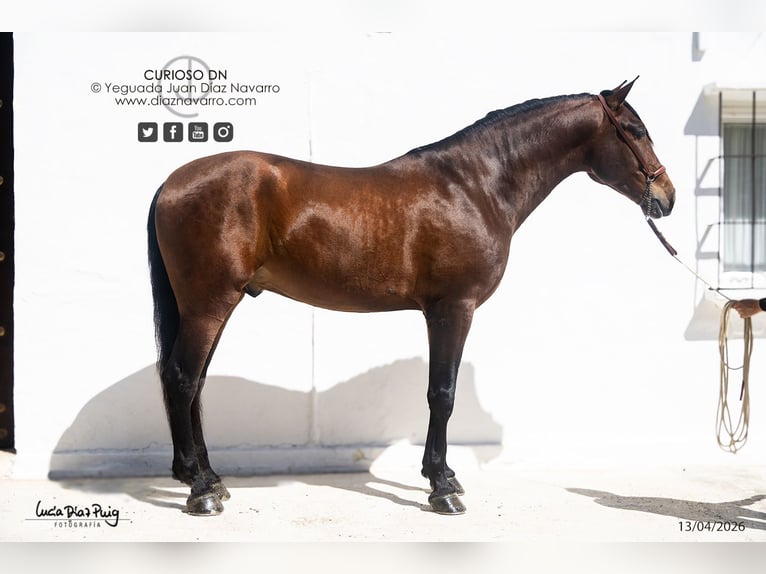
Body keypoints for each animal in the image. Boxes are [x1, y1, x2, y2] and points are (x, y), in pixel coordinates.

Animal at [147, 78, 675, 516]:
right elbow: (442, 393)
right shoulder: (452, 309)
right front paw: (442, 488)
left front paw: (445, 477)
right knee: (181, 379)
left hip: (213, 305)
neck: (475, 186)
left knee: (195, 384)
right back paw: (200, 491)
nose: (667, 198)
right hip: (209, 304)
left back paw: (210, 478)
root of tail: (171, 182)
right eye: (635, 129)